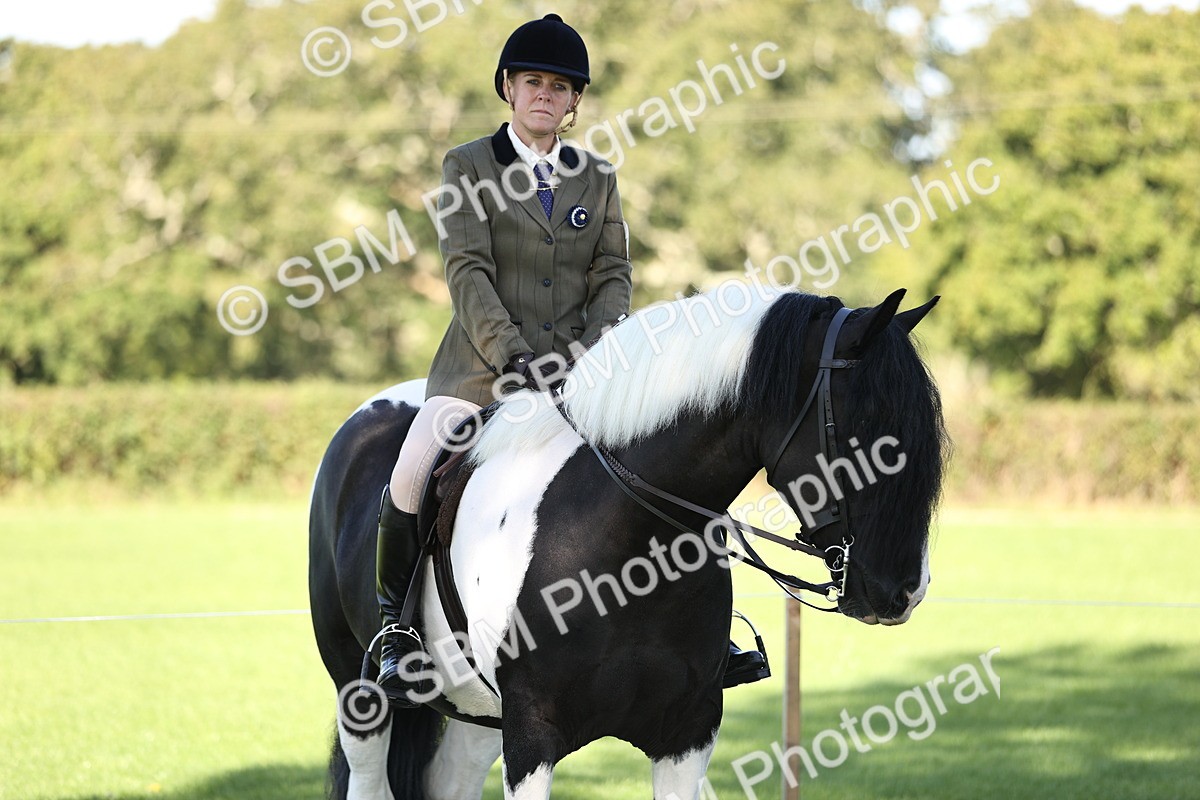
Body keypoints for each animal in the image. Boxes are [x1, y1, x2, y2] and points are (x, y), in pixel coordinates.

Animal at [308, 285, 948, 800]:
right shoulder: (531, 736)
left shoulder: (687, 734)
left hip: (477, 711)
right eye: (865, 423)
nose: (906, 592)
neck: (627, 547)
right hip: (358, 691)